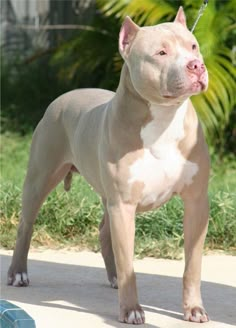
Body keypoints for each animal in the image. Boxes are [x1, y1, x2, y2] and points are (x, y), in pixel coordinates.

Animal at [8, 7, 209, 326]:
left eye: (193, 46)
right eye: (161, 52)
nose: (196, 66)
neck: (164, 119)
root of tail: (65, 95)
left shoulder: (197, 202)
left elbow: (193, 264)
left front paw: (193, 308)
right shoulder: (123, 205)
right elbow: (130, 266)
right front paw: (131, 310)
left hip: (105, 197)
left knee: (104, 232)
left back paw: (113, 278)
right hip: (41, 177)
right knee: (26, 224)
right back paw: (18, 273)